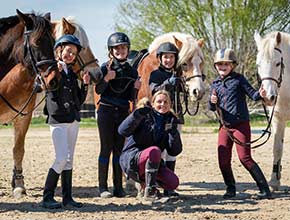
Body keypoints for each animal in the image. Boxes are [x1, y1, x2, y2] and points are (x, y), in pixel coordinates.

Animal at [0, 9, 60, 198]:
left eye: (54, 43)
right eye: (37, 42)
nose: (54, 80)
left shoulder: (23, 118)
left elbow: (18, 150)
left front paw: (18, 185)